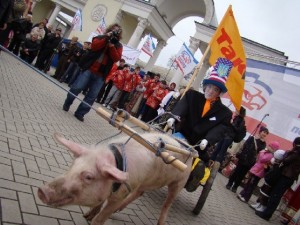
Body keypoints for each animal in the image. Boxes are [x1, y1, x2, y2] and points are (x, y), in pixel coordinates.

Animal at [38, 132, 192, 225]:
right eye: (73, 164)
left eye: (88, 177)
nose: (42, 191)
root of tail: (189, 146)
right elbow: (99, 204)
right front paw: (86, 216)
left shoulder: (122, 193)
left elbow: (102, 216)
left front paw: (91, 220)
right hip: (146, 182)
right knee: (140, 192)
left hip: (180, 182)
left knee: (167, 203)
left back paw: (160, 222)